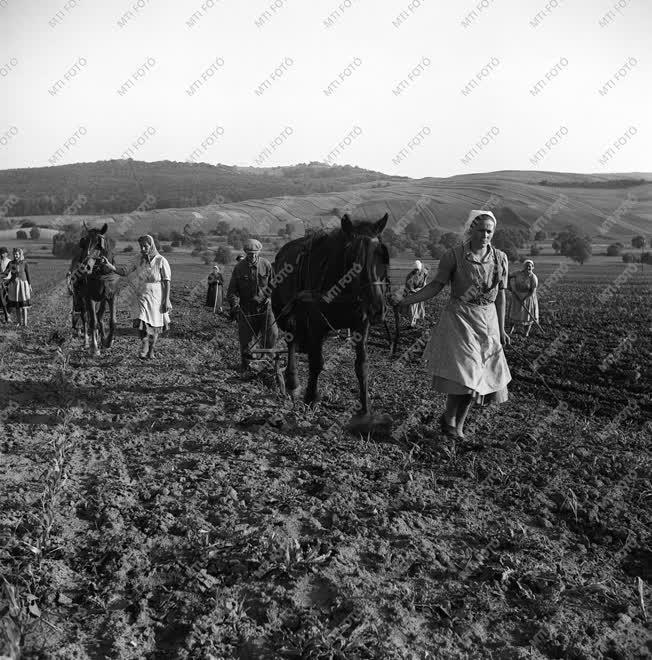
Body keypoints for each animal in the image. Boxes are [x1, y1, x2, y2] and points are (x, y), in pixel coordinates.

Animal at [70, 222, 122, 356]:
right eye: (83, 242)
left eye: (99, 244)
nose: (85, 267)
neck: (101, 273)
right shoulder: (89, 298)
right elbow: (92, 322)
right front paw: (94, 348)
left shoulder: (111, 296)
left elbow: (112, 321)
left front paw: (107, 342)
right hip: (80, 298)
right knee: (85, 318)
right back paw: (86, 342)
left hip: (101, 299)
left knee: (100, 316)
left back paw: (102, 338)